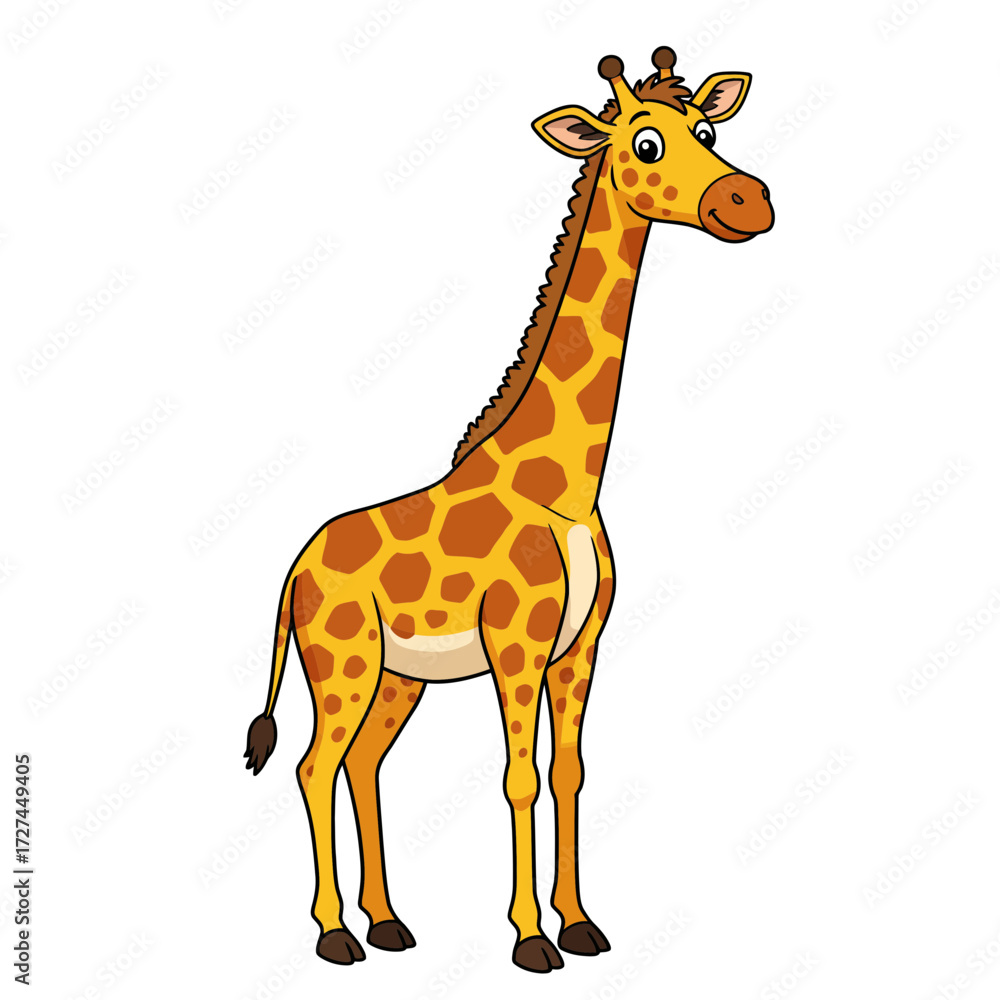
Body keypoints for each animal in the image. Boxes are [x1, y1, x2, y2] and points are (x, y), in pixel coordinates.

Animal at [244, 47, 773, 973]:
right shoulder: (517, 643)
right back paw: (335, 934)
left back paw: (389, 923)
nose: (749, 201)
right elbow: (518, 777)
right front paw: (531, 939)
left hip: (397, 677)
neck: (567, 487)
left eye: (708, 130)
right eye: (643, 142)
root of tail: (294, 570)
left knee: (363, 764)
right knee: (315, 766)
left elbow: (569, 773)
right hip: (341, 662)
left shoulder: (580, 646)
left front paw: (582, 924)